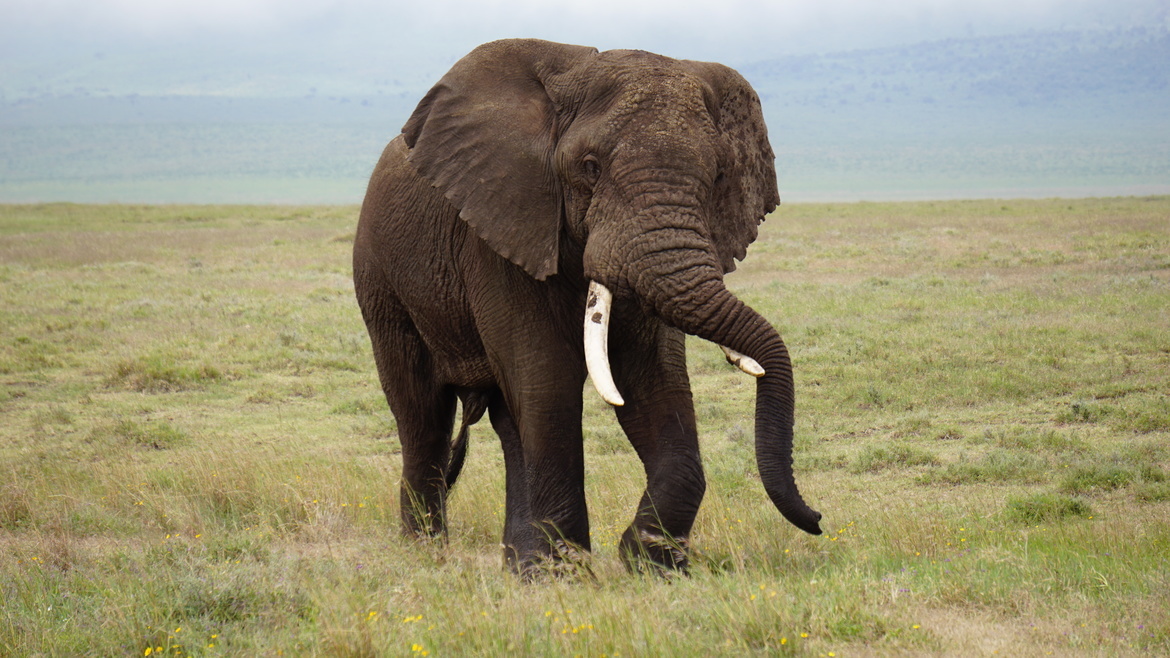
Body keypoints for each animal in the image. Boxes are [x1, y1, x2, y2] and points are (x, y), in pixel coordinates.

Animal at [353, 38, 822, 575]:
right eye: (590, 167)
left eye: (720, 174)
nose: (816, 518)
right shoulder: (504, 226)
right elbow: (547, 377)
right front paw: (572, 574)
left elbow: (654, 379)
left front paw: (651, 563)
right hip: (381, 281)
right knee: (423, 416)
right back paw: (429, 555)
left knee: (510, 425)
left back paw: (520, 567)